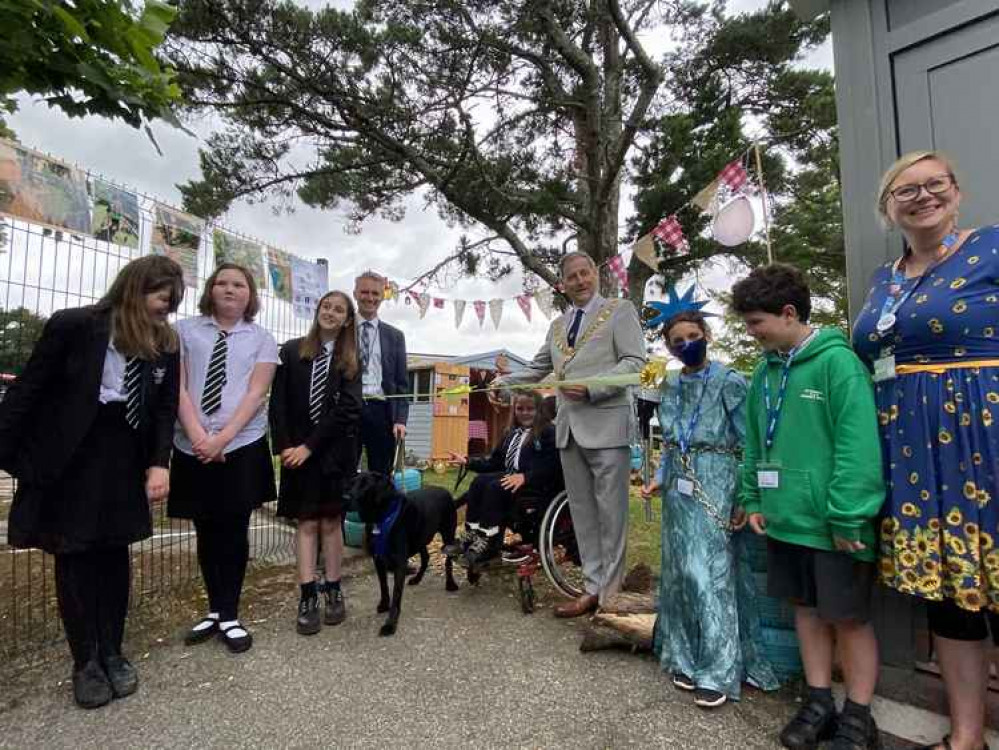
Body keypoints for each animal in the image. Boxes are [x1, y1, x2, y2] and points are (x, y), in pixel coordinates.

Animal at [346, 472, 458, 636]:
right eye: (352, 482)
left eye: (366, 484)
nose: (344, 498)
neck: (382, 516)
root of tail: (444, 490)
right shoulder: (378, 559)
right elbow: (384, 586)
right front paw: (384, 604)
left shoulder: (399, 562)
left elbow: (396, 594)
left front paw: (390, 623)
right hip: (420, 537)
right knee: (426, 557)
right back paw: (417, 579)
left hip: (447, 534)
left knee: (448, 561)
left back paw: (450, 584)